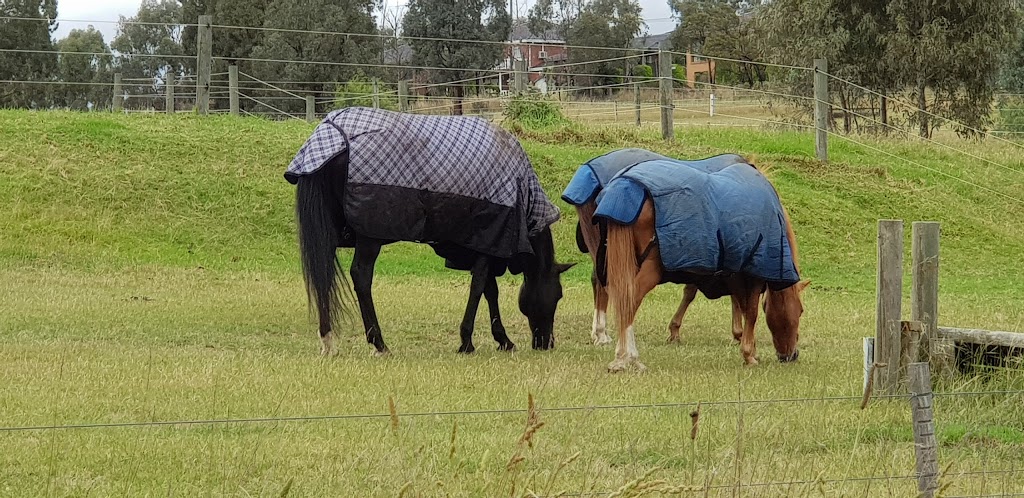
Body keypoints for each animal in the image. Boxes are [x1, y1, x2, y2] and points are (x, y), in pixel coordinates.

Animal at [288, 107, 573, 356]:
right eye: (558, 295)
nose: (546, 343)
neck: (522, 191)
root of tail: (331, 134)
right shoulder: (488, 240)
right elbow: (479, 286)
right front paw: (468, 341)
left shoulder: (480, 244)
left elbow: (489, 289)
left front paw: (502, 339)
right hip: (369, 236)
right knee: (361, 276)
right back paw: (379, 343)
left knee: (323, 274)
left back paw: (328, 339)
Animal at [598, 161, 806, 370]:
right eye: (800, 310)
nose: (792, 355)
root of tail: (626, 184)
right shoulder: (754, 274)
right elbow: (751, 312)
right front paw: (749, 355)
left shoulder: (734, 274)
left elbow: (742, 306)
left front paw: (750, 348)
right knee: (630, 301)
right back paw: (628, 357)